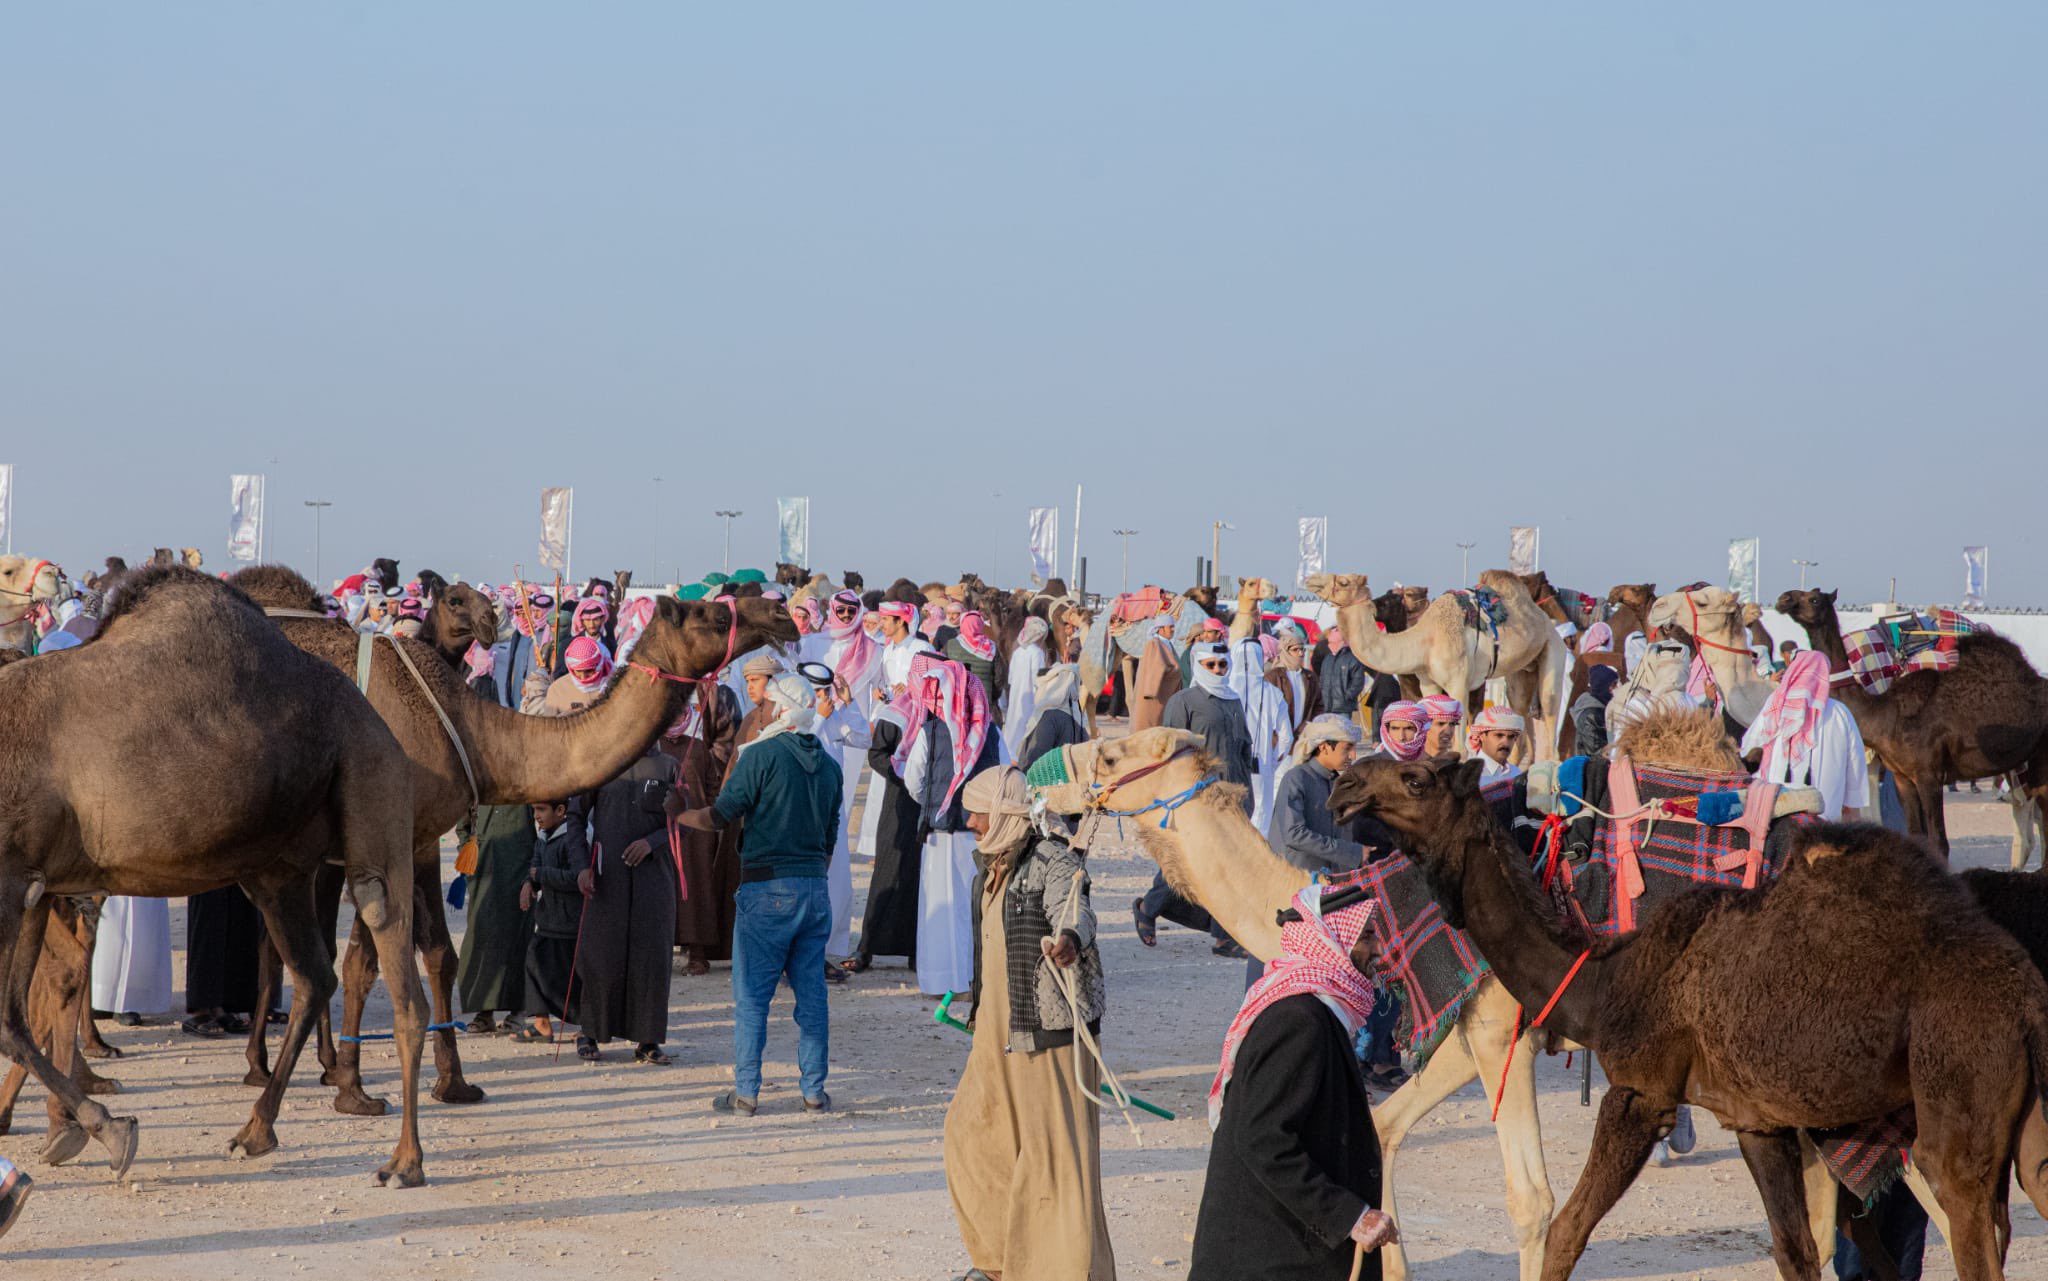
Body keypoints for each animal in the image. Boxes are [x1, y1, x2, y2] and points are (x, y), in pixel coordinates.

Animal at [1302, 569, 1572, 758]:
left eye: (1344, 582)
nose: (1311, 578)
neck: (1425, 640)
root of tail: (1546, 621)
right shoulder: (1428, 683)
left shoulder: (1459, 684)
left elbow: (1460, 748)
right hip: (1522, 670)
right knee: (1520, 718)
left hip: (1553, 649)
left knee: (1550, 714)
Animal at [1335, 750, 2048, 1278]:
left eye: (1416, 777)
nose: (1343, 781)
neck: (1606, 978)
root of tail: (2027, 999)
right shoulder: (1756, 1118)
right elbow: (1795, 1251)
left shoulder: (1636, 1089)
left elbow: (1557, 1224)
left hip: (1953, 1102)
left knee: (1963, 1220)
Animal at [1777, 590, 2048, 860]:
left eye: (1814, 599)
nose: (1784, 598)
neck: (1884, 713)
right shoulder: (1902, 777)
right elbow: (1916, 836)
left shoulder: (1929, 775)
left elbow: (1939, 843)